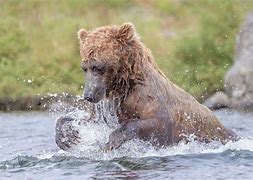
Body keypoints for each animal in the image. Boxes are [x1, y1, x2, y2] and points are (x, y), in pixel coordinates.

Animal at [54, 22, 237, 151]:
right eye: (84, 67)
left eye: (98, 66)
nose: (88, 95)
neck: (123, 86)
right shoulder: (109, 105)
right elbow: (87, 119)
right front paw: (67, 137)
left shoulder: (147, 98)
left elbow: (158, 122)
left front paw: (112, 141)